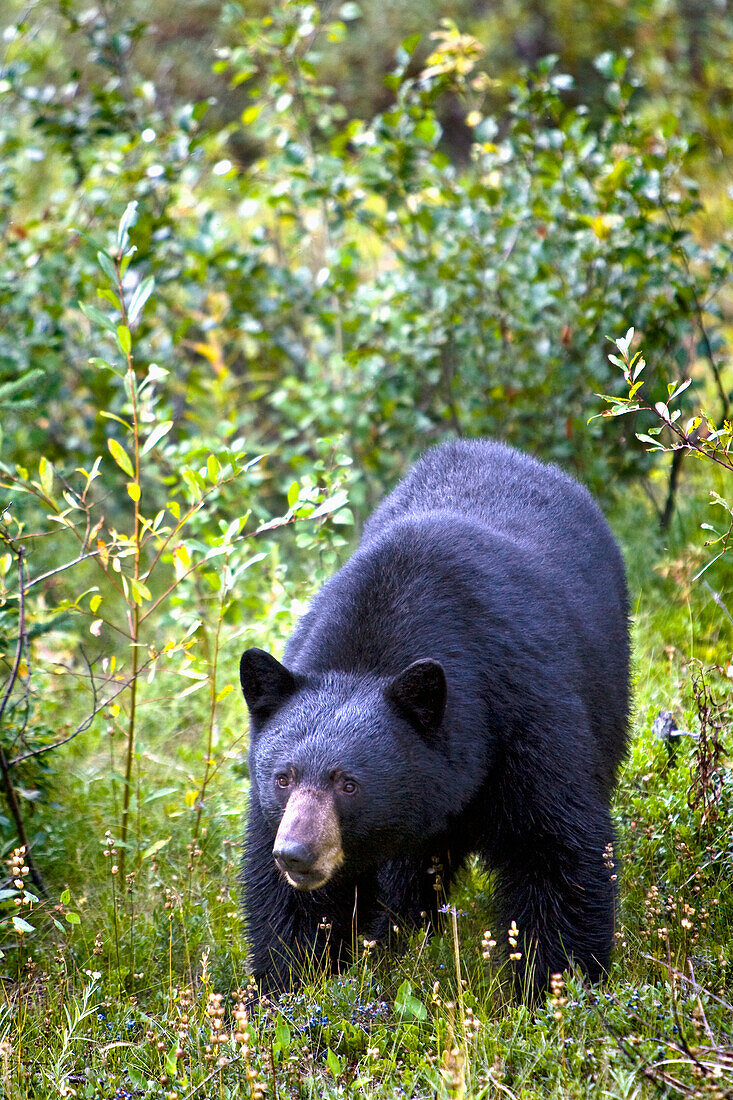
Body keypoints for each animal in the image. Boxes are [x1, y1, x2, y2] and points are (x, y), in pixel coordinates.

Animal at [236, 437, 625, 998]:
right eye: (282, 778)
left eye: (349, 783)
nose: (297, 853)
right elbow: (289, 907)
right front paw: (288, 986)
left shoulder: (522, 710)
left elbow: (556, 845)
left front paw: (552, 985)